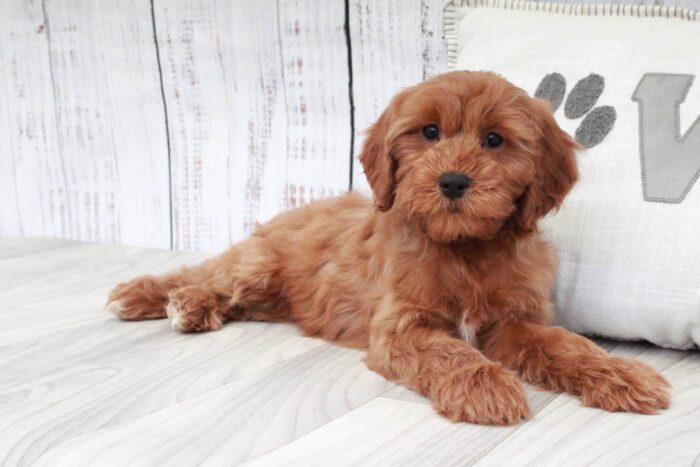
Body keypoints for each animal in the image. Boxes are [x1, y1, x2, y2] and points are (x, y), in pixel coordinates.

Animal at [106, 71, 668, 426]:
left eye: (494, 140)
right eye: (430, 131)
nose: (453, 181)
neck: (463, 249)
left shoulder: (514, 322)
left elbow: (567, 345)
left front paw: (622, 374)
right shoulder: (402, 327)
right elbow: (450, 352)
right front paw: (484, 387)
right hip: (258, 264)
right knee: (208, 275)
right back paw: (161, 298)